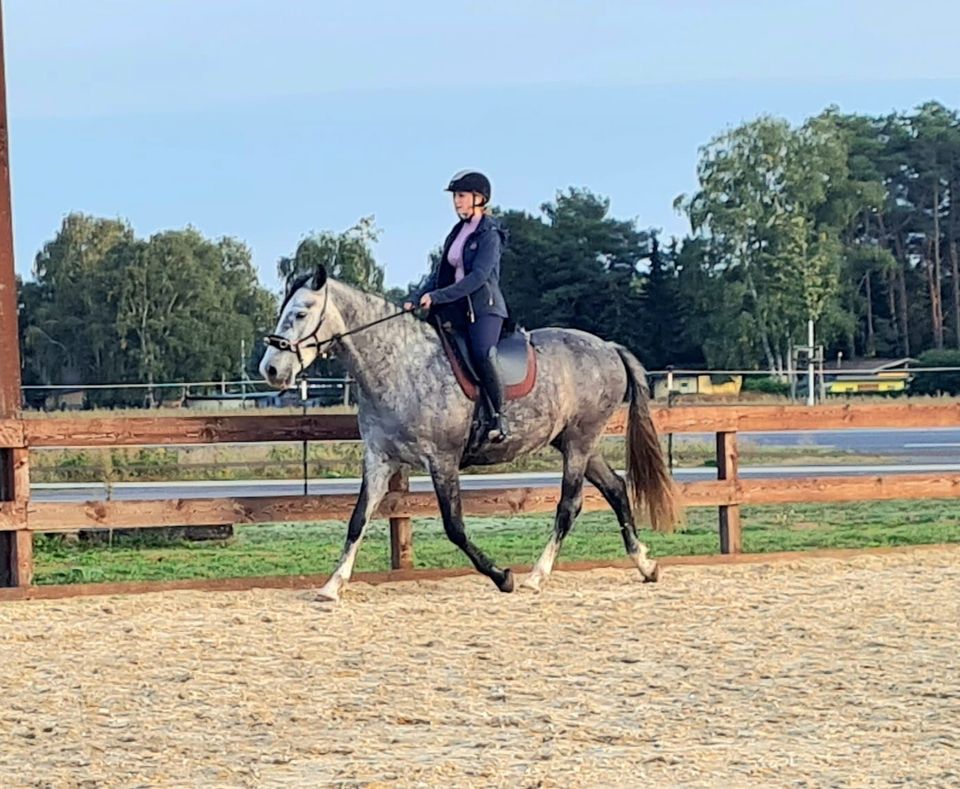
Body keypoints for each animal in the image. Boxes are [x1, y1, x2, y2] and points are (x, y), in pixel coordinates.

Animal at [256, 266, 676, 604]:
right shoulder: (379, 459)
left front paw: (502, 577)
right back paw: (645, 564)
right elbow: (358, 519)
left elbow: (454, 527)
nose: (271, 370)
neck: (400, 365)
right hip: (577, 443)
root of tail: (608, 347)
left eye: (300, 313)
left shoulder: (442, 460)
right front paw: (332, 586)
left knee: (569, 505)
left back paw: (536, 577)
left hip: (579, 441)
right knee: (616, 489)